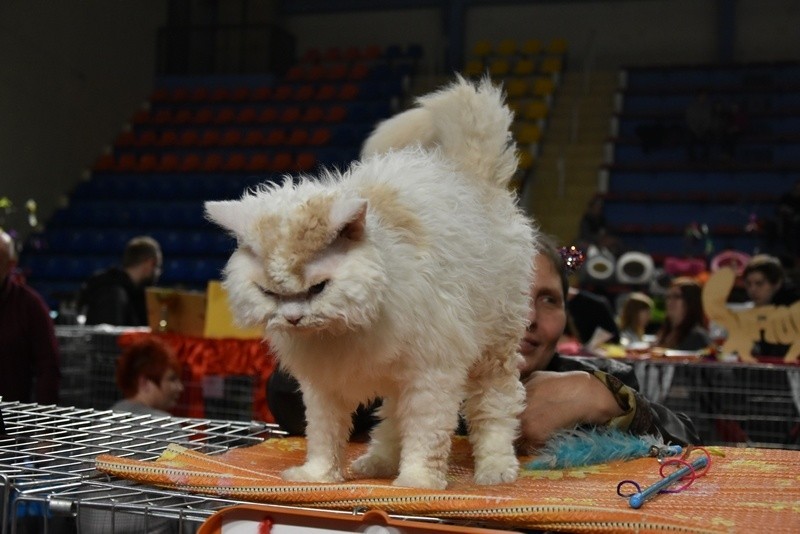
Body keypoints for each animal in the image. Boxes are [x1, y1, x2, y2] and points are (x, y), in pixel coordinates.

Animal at [205, 75, 536, 490]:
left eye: (318, 288)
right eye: (270, 293)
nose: (294, 318)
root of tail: (471, 172)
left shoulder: (432, 377)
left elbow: (427, 438)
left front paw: (417, 484)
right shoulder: (323, 387)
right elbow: (324, 436)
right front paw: (317, 477)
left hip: (494, 351)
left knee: (495, 409)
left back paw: (494, 470)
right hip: (402, 380)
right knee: (393, 419)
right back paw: (377, 463)